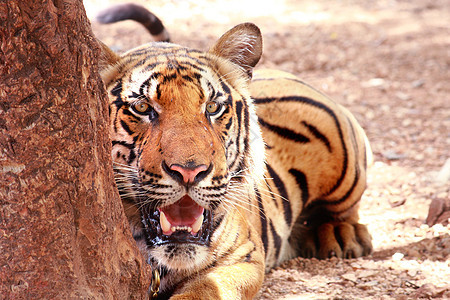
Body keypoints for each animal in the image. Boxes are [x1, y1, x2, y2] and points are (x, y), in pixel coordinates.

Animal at [97, 17, 372, 298]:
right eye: (142, 108)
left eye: (212, 107)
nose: (189, 171)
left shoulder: (244, 255)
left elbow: (206, 288)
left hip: (344, 162)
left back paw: (340, 234)